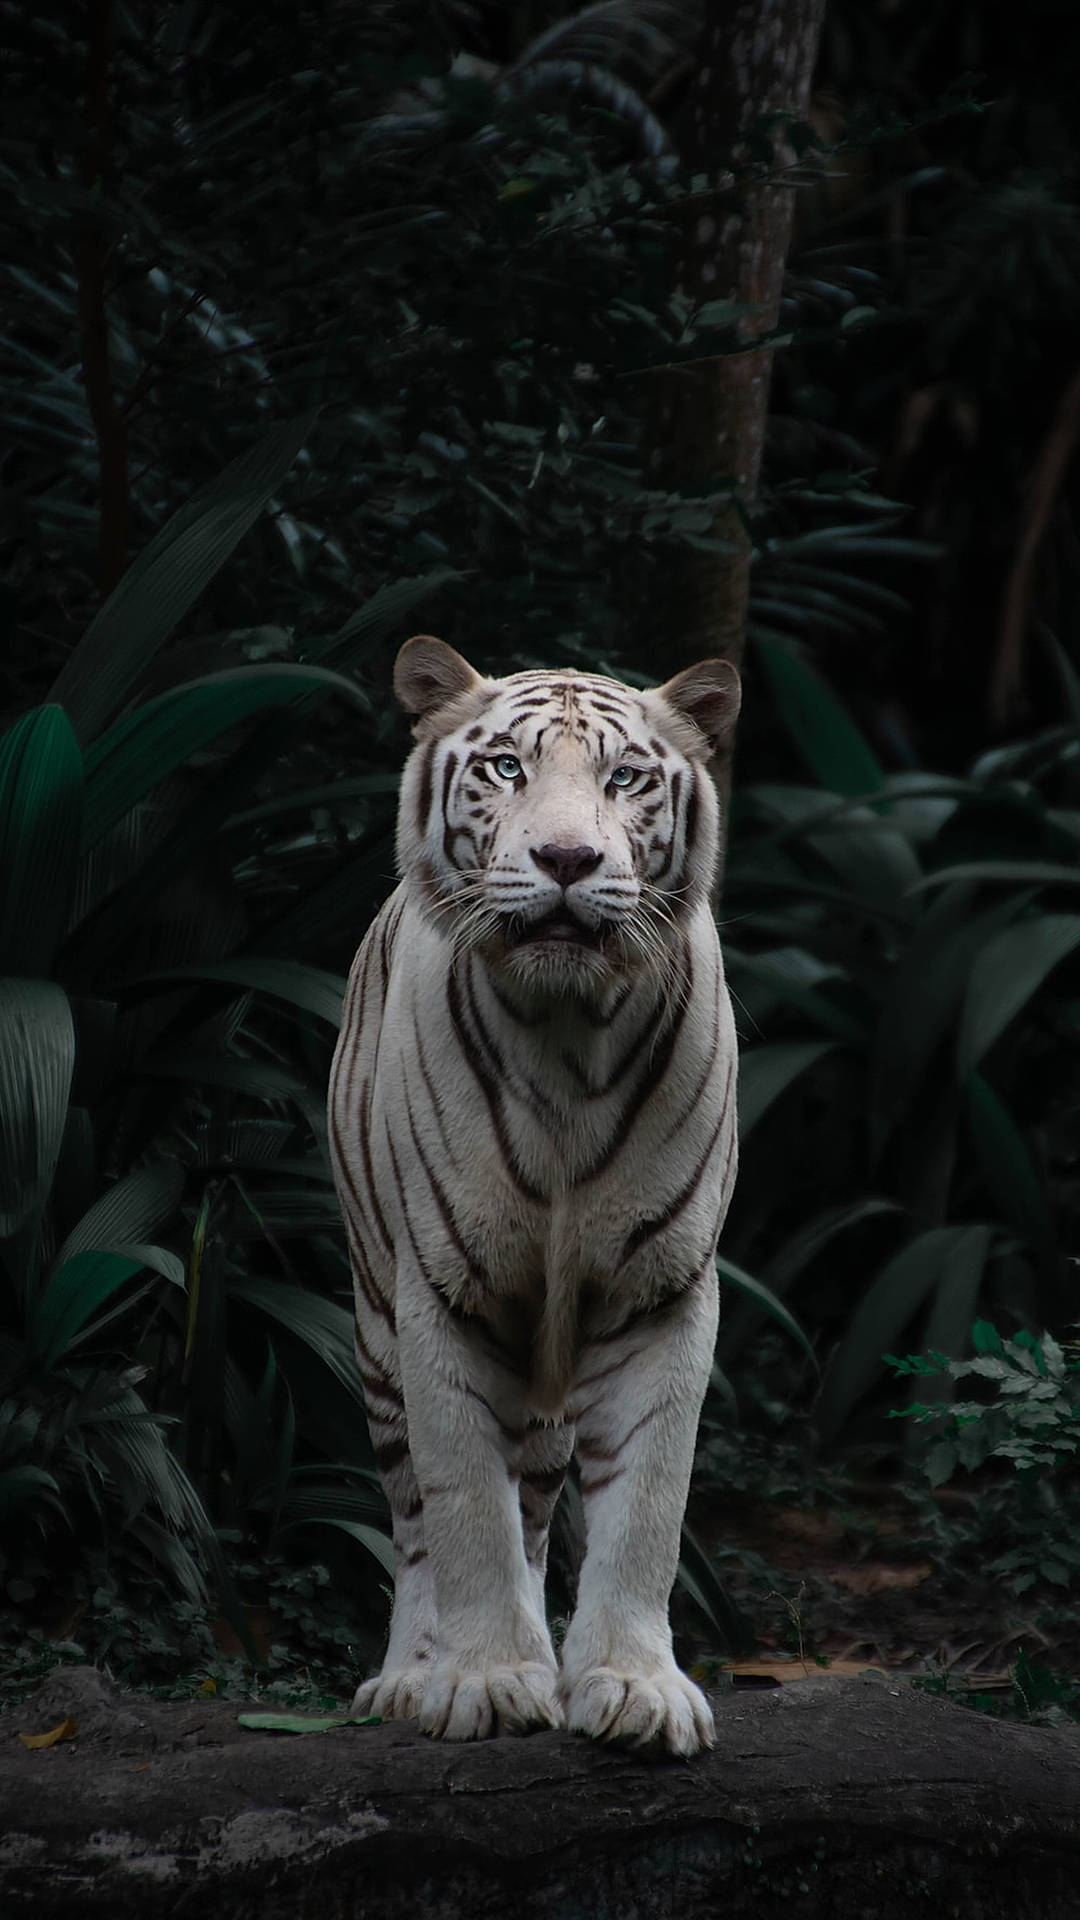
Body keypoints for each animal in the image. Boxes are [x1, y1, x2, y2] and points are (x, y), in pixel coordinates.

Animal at [322, 633, 734, 1758]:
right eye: (507, 768)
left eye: (625, 777)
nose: (566, 861)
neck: (567, 1035)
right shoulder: (441, 1294)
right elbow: (465, 1505)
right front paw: (489, 1681)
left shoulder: (661, 1292)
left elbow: (648, 1505)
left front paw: (633, 1688)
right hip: (374, 1328)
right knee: (416, 1517)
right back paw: (410, 1676)